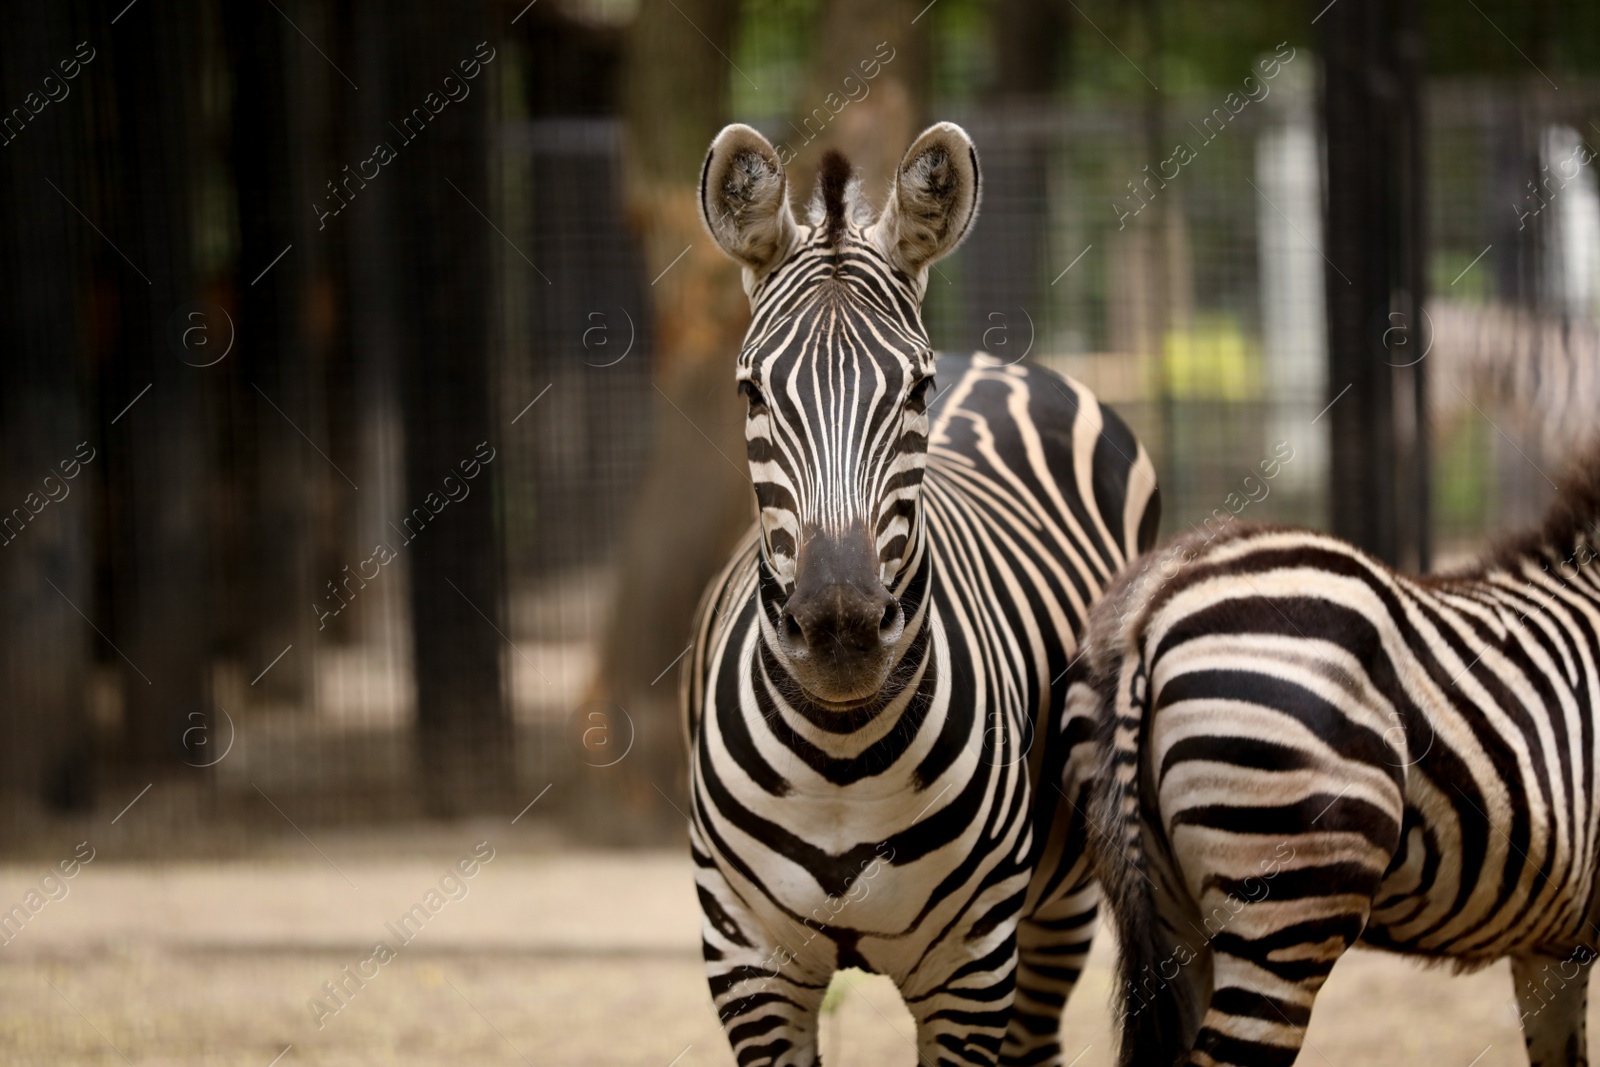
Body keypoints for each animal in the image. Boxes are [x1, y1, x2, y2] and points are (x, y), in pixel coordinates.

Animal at [681, 119, 1158, 1067]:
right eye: (752, 391)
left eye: (917, 387)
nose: (840, 629)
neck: (839, 753)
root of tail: (994, 361)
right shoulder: (746, 959)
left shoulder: (970, 970)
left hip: (1058, 905)